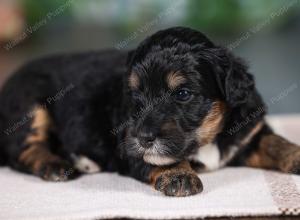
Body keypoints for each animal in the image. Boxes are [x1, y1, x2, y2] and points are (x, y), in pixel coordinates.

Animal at [0, 26, 300, 197]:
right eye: (135, 95)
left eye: (182, 94)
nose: (144, 138)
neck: (207, 137)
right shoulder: (128, 145)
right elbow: (158, 158)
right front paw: (179, 175)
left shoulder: (249, 132)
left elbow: (275, 142)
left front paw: (296, 154)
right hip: (29, 106)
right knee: (22, 151)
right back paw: (56, 165)